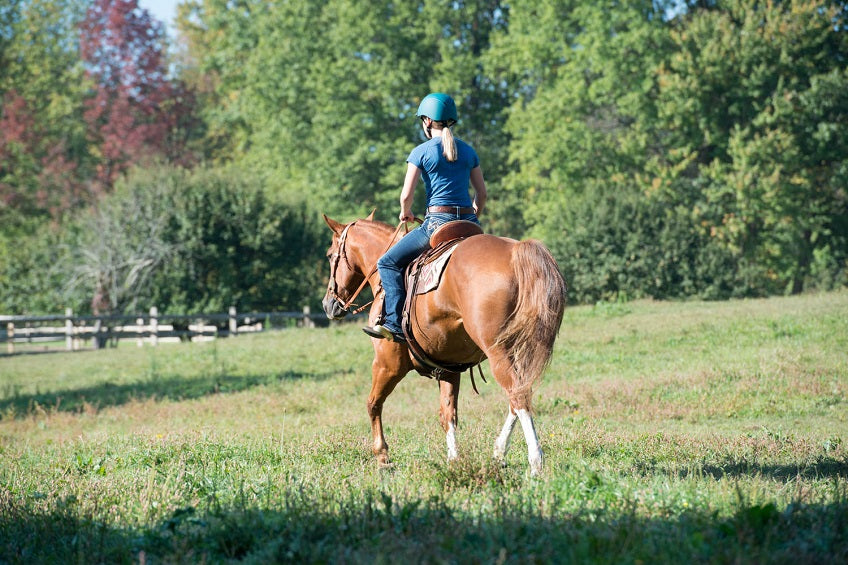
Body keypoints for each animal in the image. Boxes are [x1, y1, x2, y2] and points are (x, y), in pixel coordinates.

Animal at [322, 212, 568, 476]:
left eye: (330, 255)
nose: (328, 304)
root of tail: (515, 252)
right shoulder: (449, 369)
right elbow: (447, 415)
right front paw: (454, 461)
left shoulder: (387, 364)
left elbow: (373, 404)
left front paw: (383, 456)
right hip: (519, 350)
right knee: (521, 394)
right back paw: (500, 452)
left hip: (498, 352)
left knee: (518, 396)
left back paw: (535, 462)